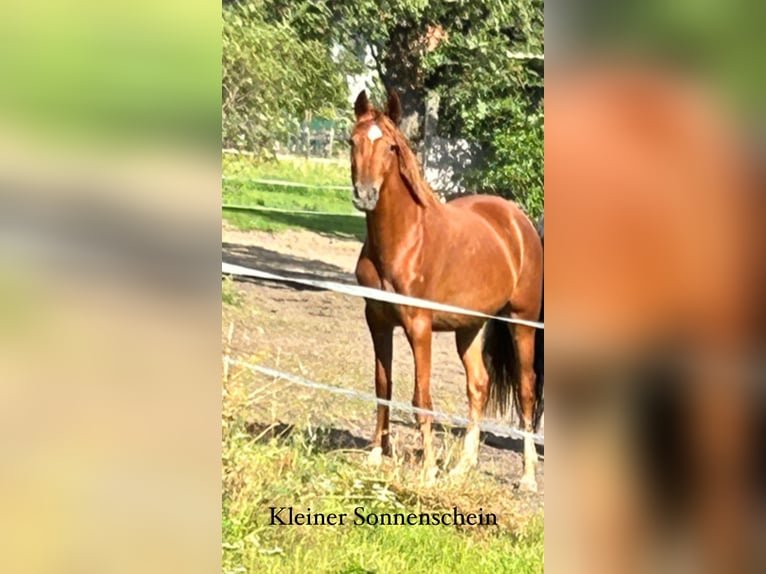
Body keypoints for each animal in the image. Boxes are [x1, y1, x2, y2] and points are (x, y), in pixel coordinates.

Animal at [352, 90, 544, 490]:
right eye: (353, 141)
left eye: (390, 146)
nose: (365, 194)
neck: (403, 241)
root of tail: (518, 221)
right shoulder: (377, 320)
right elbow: (382, 385)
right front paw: (377, 454)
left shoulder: (419, 326)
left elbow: (421, 397)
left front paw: (427, 471)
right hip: (468, 328)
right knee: (479, 385)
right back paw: (463, 466)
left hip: (522, 323)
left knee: (526, 391)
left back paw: (528, 477)